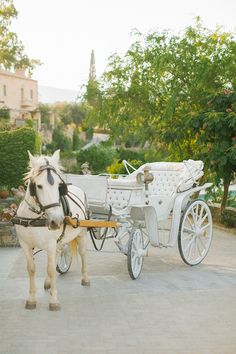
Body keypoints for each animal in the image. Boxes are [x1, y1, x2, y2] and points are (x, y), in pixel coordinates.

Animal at [14, 151, 89, 312]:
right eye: (39, 186)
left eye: (59, 186)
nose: (56, 221)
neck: (34, 218)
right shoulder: (25, 245)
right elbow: (31, 269)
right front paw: (31, 299)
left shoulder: (50, 244)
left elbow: (50, 270)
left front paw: (54, 300)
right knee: (59, 253)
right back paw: (48, 283)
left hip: (81, 233)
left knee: (82, 253)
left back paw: (85, 278)